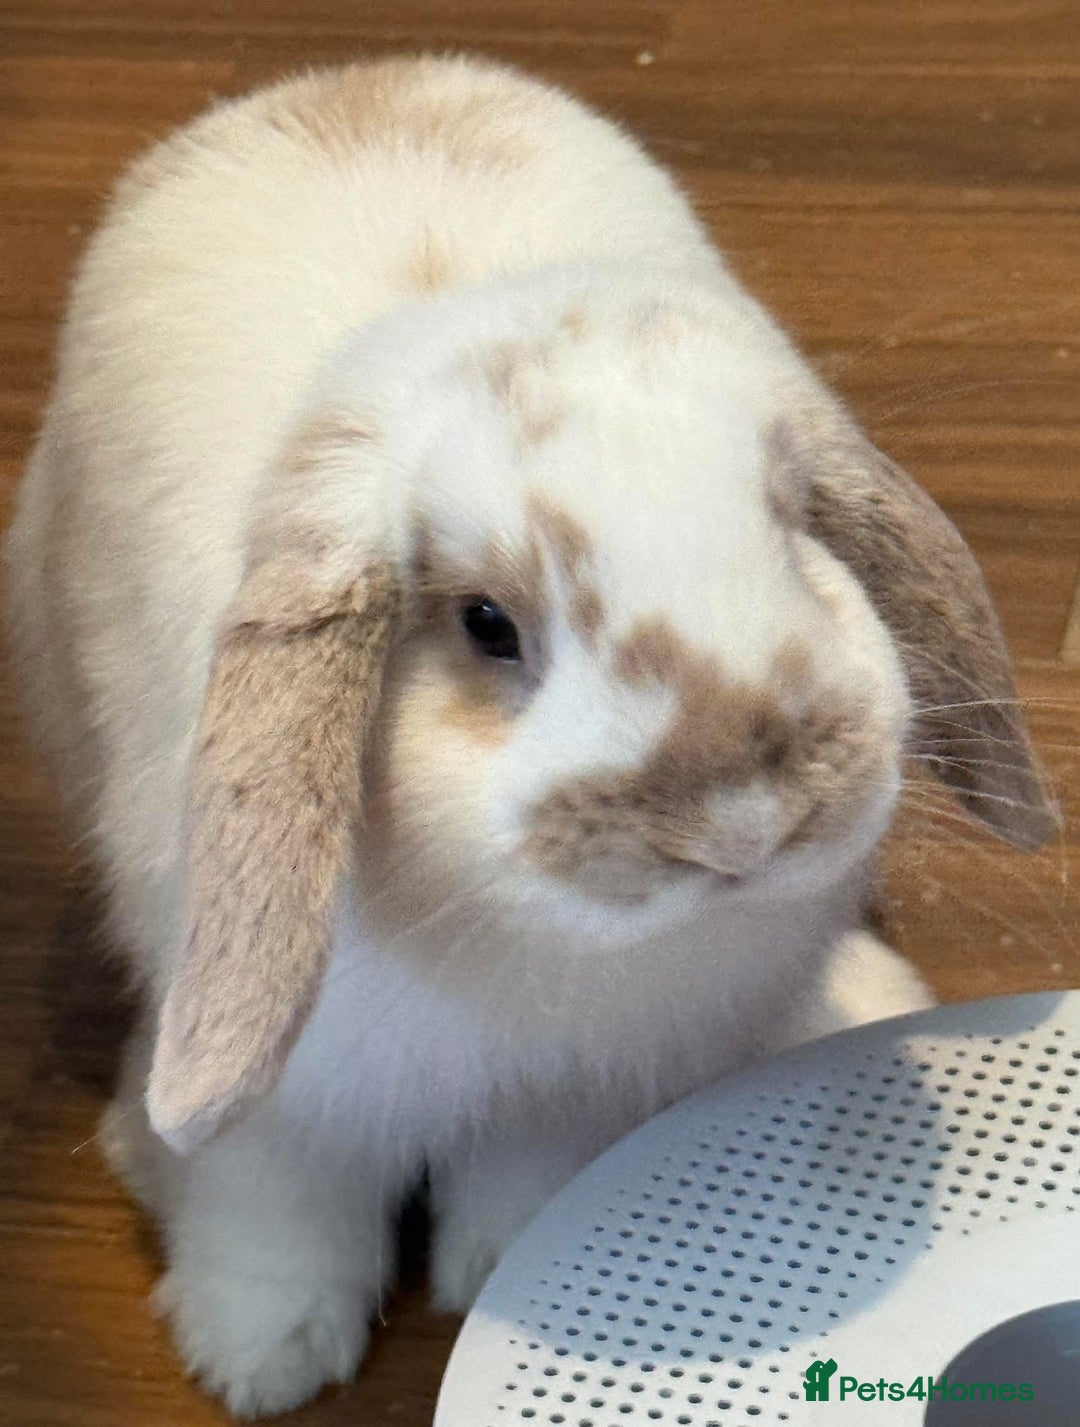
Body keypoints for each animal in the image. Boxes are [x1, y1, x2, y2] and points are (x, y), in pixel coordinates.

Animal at [4, 53, 1055, 1418]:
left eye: (791, 529)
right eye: (487, 624)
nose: (742, 822)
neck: (518, 947)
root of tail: (360, 72)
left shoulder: (578, 1086)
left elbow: (529, 1177)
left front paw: (497, 1265)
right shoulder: (293, 1094)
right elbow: (271, 1202)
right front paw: (261, 1350)